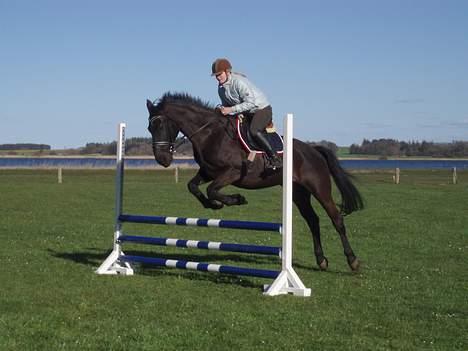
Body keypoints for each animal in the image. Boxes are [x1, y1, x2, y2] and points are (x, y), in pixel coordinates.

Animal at [144, 92, 364, 270]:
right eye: (149, 127)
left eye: (160, 124)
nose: (162, 160)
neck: (210, 134)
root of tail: (314, 150)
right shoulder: (208, 172)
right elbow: (193, 187)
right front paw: (213, 206)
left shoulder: (231, 173)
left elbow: (213, 190)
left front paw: (236, 199)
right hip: (298, 192)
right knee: (313, 220)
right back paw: (321, 260)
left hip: (319, 188)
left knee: (336, 219)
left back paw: (352, 261)